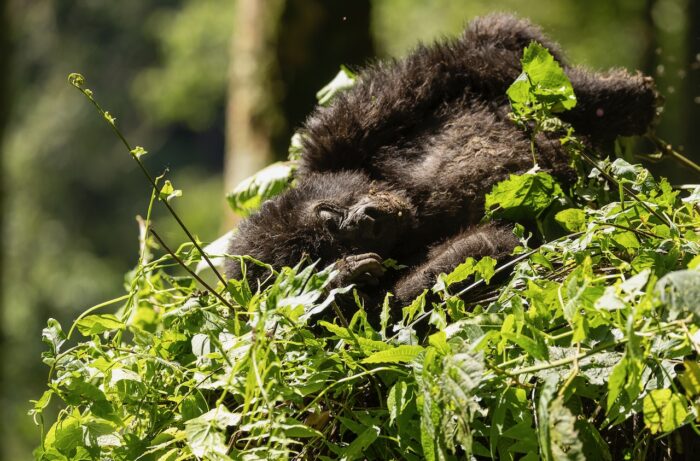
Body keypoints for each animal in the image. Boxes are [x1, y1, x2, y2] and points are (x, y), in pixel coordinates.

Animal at [225, 13, 658, 310]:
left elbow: (459, 62)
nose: (363, 222)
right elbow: (475, 254)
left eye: (328, 217)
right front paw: (340, 283)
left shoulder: (332, 136)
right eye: (322, 255)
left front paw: (611, 99)